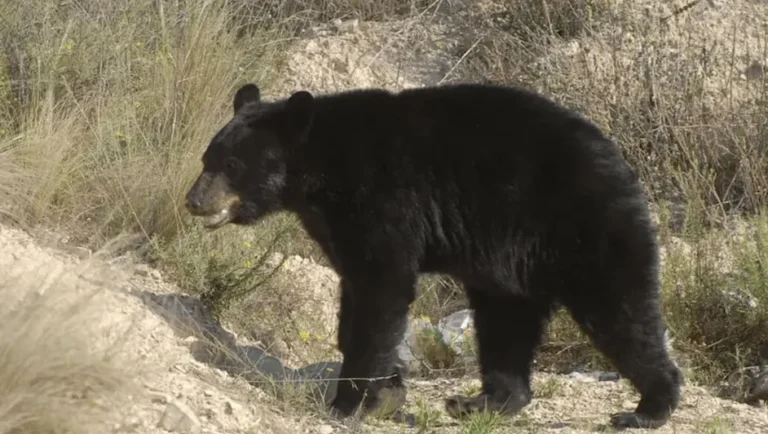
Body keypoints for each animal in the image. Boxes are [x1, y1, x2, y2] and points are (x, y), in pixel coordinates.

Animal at [186, 82, 684, 430]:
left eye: (232, 165)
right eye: (206, 158)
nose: (194, 201)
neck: (322, 173)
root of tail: (621, 160)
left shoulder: (384, 200)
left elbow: (382, 291)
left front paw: (349, 402)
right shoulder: (338, 225)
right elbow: (355, 294)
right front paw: (387, 391)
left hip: (584, 228)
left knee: (622, 312)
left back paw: (647, 408)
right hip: (512, 266)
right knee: (507, 323)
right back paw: (480, 402)